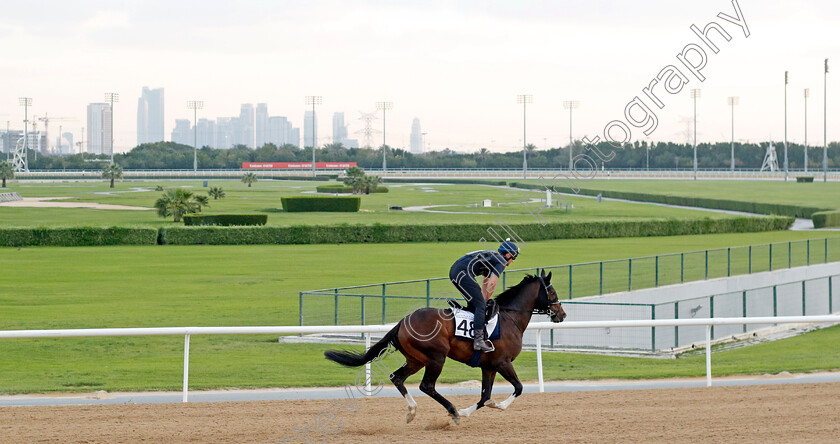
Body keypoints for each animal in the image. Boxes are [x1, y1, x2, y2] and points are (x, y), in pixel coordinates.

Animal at [324, 268, 568, 424]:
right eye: (552, 292)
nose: (562, 314)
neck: (510, 318)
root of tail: (402, 322)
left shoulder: (488, 366)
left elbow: (484, 397)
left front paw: (470, 410)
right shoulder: (502, 362)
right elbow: (518, 388)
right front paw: (493, 406)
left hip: (416, 359)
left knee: (397, 377)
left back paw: (412, 411)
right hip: (436, 357)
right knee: (426, 386)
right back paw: (451, 410)